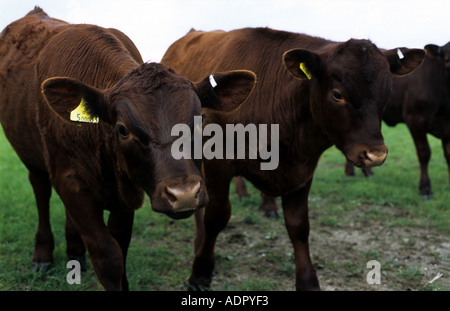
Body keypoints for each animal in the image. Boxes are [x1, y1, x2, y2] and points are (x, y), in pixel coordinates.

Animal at [0, 7, 256, 292]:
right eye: (122, 129)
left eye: (201, 118)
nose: (185, 194)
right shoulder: (68, 181)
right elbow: (108, 257)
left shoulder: (126, 191)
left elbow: (120, 248)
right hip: (31, 155)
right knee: (40, 190)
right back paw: (43, 254)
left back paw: (75, 252)